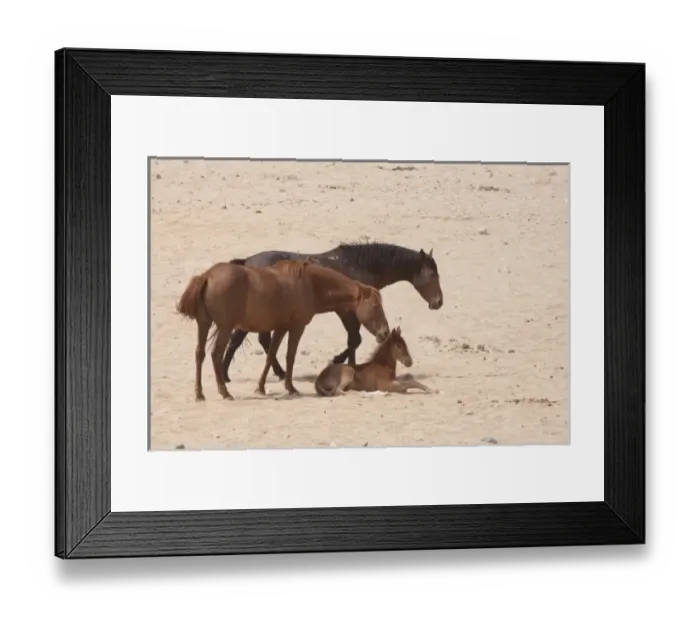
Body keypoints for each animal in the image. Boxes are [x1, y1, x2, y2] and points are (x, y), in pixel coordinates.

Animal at [175, 259, 391, 401]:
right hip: (225, 328)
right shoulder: (297, 327)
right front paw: (291, 387)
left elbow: (271, 356)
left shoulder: (280, 328)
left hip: (204, 324)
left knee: (200, 354)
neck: (309, 284)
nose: (385, 333)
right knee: (215, 355)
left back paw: (199, 393)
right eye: (375, 307)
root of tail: (207, 275)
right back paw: (224, 392)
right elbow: (289, 357)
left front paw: (261, 388)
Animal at [221, 242, 444, 382]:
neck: (359, 266)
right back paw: (226, 374)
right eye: (433, 274)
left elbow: (354, 340)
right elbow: (354, 340)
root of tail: (247, 261)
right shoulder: (346, 312)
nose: (439, 302)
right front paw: (340, 361)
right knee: (239, 339)